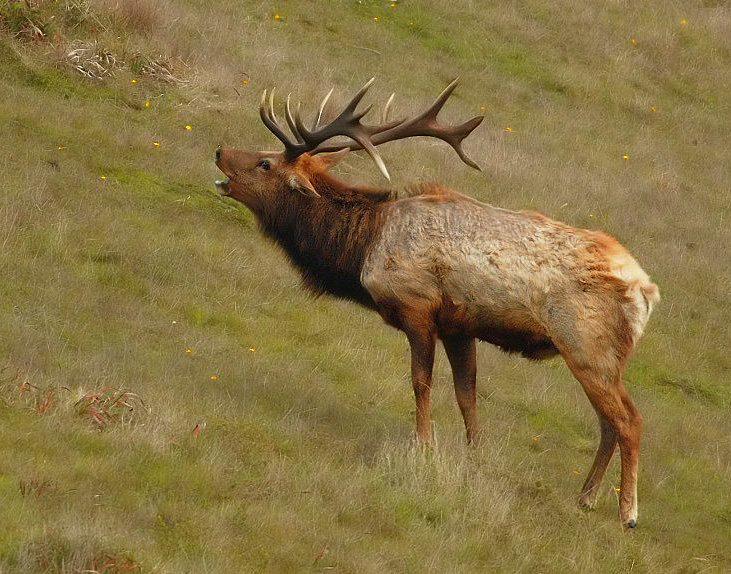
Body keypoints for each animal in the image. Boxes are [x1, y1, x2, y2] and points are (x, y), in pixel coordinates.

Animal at [212, 79, 656, 528]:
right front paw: (475, 456)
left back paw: (628, 512)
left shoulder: (418, 308)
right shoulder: (459, 326)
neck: (363, 248)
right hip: (600, 357)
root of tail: (647, 292)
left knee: (629, 420)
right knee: (607, 423)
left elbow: (420, 382)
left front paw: (423, 446)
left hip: (587, 347)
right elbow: (467, 394)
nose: (219, 151)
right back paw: (585, 497)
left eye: (265, 163)